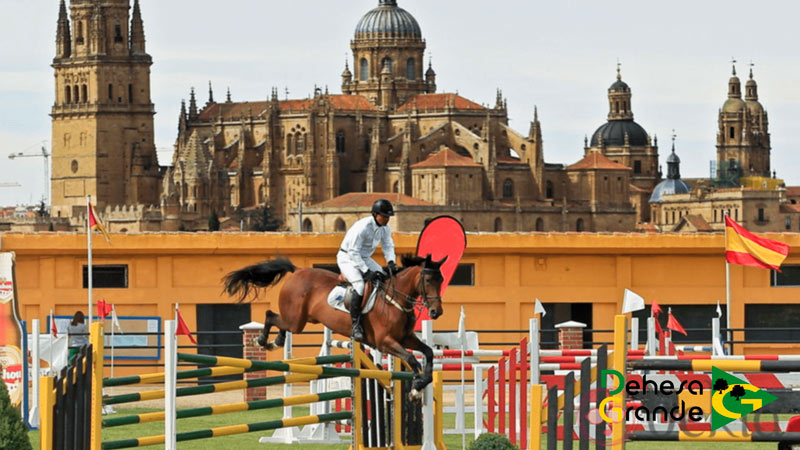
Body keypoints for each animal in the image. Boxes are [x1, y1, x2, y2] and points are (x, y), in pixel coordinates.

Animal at [223, 255, 450, 400]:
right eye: (428, 279)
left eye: (441, 279)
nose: (436, 312)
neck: (394, 299)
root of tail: (298, 271)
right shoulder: (385, 343)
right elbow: (412, 359)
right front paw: (416, 387)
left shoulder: (405, 338)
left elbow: (428, 353)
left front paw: (419, 385)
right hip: (296, 320)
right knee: (271, 315)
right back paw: (263, 341)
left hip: (300, 320)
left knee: (280, 322)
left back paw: (275, 341)